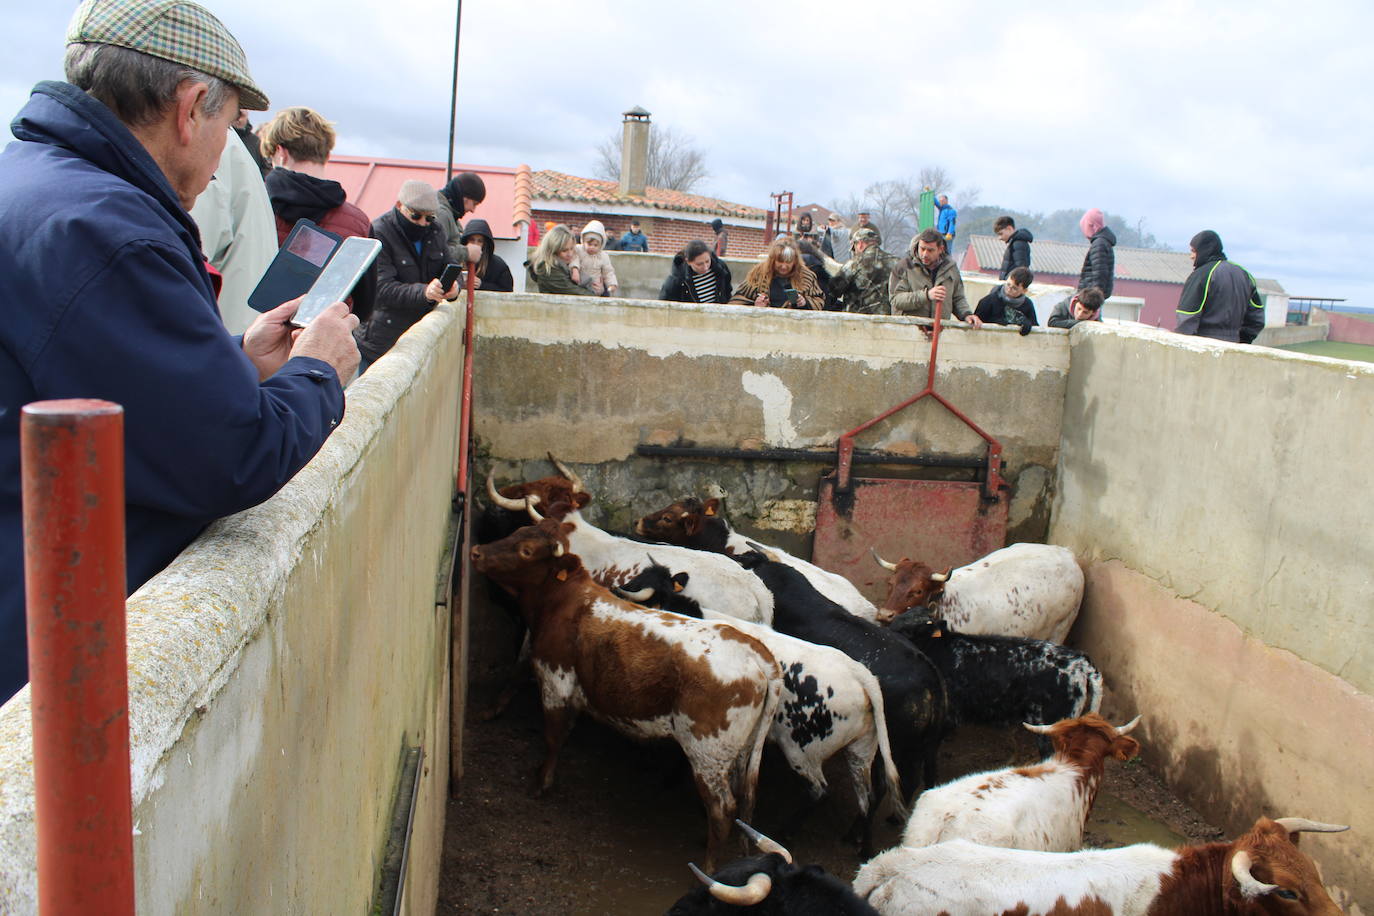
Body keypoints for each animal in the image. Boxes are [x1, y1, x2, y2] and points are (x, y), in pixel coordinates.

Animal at [469, 519, 785, 873]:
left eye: (525, 551)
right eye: (517, 532)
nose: (476, 551)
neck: (568, 601)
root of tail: (757, 654)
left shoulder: (555, 681)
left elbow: (553, 736)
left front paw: (541, 783)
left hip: (707, 754)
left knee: (722, 809)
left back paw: (708, 868)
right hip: (741, 752)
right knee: (744, 802)